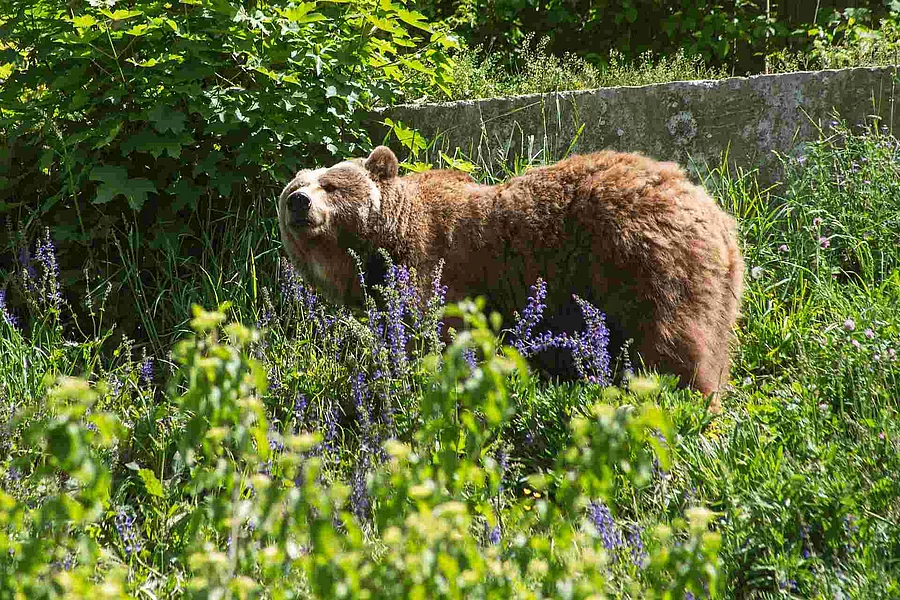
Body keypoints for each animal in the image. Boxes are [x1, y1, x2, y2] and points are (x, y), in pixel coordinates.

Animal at [277, 145, 744, 401]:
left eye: (331, 185)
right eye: (292, 189)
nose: (299, 202)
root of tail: (712, 211)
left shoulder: (440, 271)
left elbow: (442, 338)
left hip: (645, 263)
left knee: (670, 343)